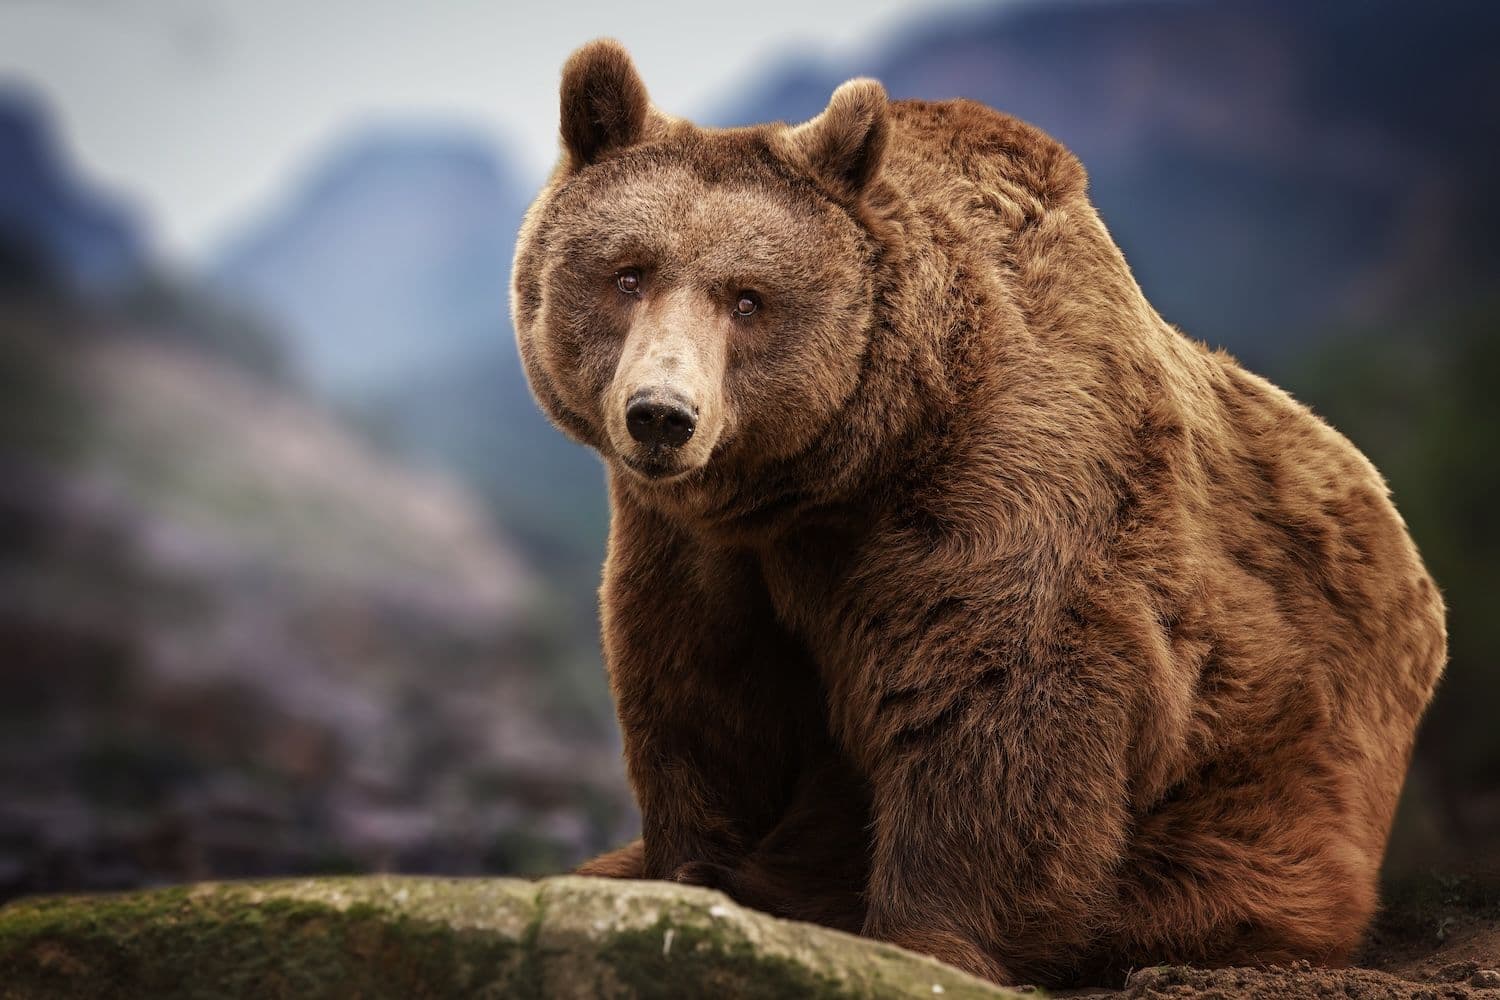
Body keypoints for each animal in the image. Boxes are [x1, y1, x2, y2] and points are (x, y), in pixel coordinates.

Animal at [510, 39, 1448, 988]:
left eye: (748, 297)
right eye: (628, 273)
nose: (661, 415)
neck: (836, 471)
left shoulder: (1000, 479)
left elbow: (995, 698)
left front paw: (925, 935)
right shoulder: (697, 545)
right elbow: (702, 694)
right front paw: (691, 871)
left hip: (1266, 783)